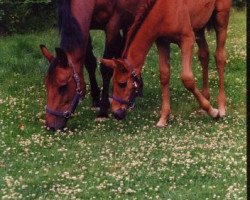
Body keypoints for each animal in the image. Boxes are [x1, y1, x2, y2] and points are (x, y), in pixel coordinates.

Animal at [39, 0, 144, 130]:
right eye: (47, 84)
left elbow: (106, 68)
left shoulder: (113, 25)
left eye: (63, 86)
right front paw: (96, 99)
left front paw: (103, 111)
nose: (51, 126)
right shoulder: (86, 27)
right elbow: (90, 63)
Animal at [100, 0, 232, 126]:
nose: (116, 112)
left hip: (221, 19)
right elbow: (164, 76)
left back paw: (221, 107)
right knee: (204, 55)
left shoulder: (187, 40)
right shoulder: (162, 42)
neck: (165, 11)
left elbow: (187, 79)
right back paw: (205, 100)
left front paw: (213, 112)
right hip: (199, 27)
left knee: (220, 57)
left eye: (122, 84)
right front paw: (163, 118)